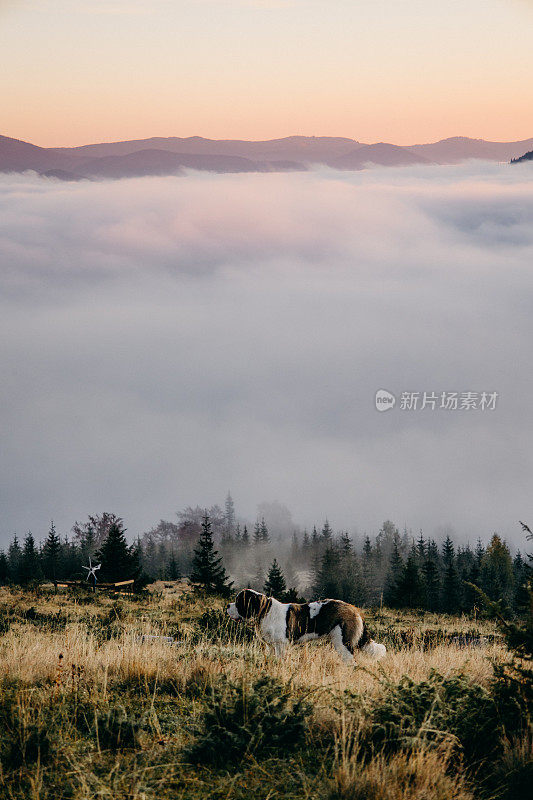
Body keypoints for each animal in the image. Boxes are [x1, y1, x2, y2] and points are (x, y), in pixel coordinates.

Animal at [227, 588, 384, 664]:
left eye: (239, 601)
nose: (228, 605)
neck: (264, 611)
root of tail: (354, 609)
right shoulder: (271, 645)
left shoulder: (281, 645)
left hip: (342, 643)